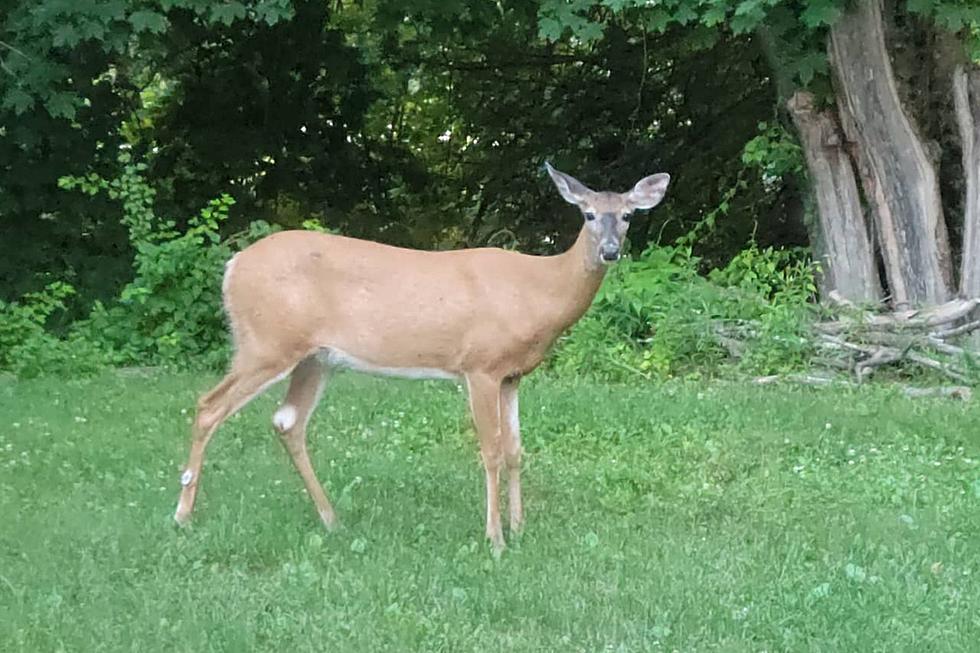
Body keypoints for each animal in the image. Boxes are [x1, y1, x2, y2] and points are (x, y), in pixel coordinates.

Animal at [172, 160, 668, 548]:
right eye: (588, 213)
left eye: (627, 215)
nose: (610, 252)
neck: (538, 292)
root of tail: (232, 267)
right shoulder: (480, 365)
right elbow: (490, 450)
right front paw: (495, 539)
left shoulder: (512, 375)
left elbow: (516, 450)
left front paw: (520, 527)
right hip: (266, 342)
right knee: (208, 406)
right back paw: (183, 515)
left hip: (314, 356)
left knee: (287, 421)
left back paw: (331, 519)